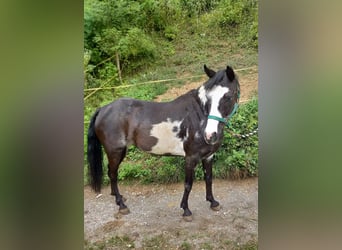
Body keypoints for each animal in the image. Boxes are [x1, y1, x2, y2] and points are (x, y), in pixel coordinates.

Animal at [87, 64, 240, 221]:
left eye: (228, 96)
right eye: (208, 98)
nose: (210, 135)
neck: (198, 116)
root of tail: (103, 109)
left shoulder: (208, 156)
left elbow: (208, 178)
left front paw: (213, 202)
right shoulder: (190, 158)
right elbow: (188, 184)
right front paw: (186, 210)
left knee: (112, 172)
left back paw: (119, 198)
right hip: (115, 151)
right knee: (112, 174)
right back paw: (121, 205)